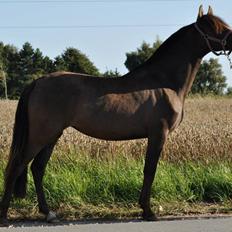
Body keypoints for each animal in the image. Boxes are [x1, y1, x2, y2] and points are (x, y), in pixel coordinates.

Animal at [0, 5, 232, 224]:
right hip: (40, 135)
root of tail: (37, 82)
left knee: (37, 168)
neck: (164, 82)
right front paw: (148, 211)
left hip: (52, 135)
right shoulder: (158, 133)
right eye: (214, 27)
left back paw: (48, 213)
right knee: (16, 166)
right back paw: (5, 215)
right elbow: (150, 170)